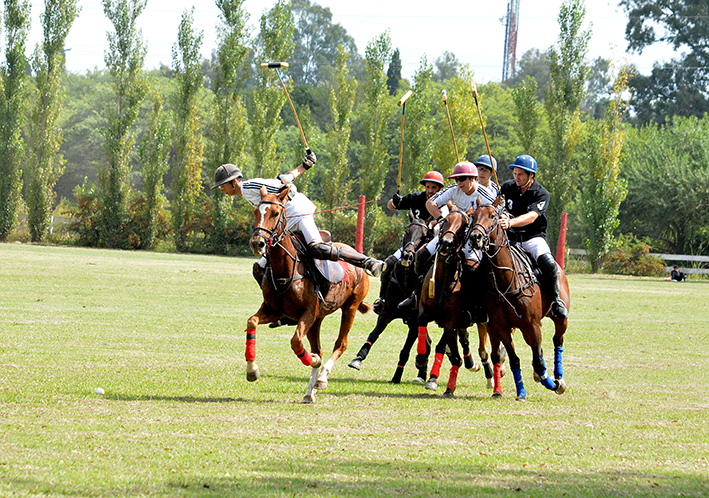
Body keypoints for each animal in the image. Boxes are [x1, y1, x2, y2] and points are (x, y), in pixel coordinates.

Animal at [245, 185, 370, 402]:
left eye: (275, 213)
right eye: (255, 212)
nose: (257, 243)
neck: (285, 269)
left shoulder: (308, 312)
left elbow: (296, 342)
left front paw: (313, 362)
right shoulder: (273, 310)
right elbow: (251, 322)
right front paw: (252, 370)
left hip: (350, 307)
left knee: (341, 344)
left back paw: (322, 378)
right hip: (318, 319)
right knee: (318, 347)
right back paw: (309, 392)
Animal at [470, 201, 568, 400]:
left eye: (493, 216)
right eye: (473, 215)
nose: (475, 237)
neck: (506, 280)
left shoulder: (532, 324)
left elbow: (537, 360)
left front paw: (551, 383)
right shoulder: (500, 326)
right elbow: (514, 359)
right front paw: (521, 391)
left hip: (560, 319)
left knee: (557, 341)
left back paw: (558, 379)